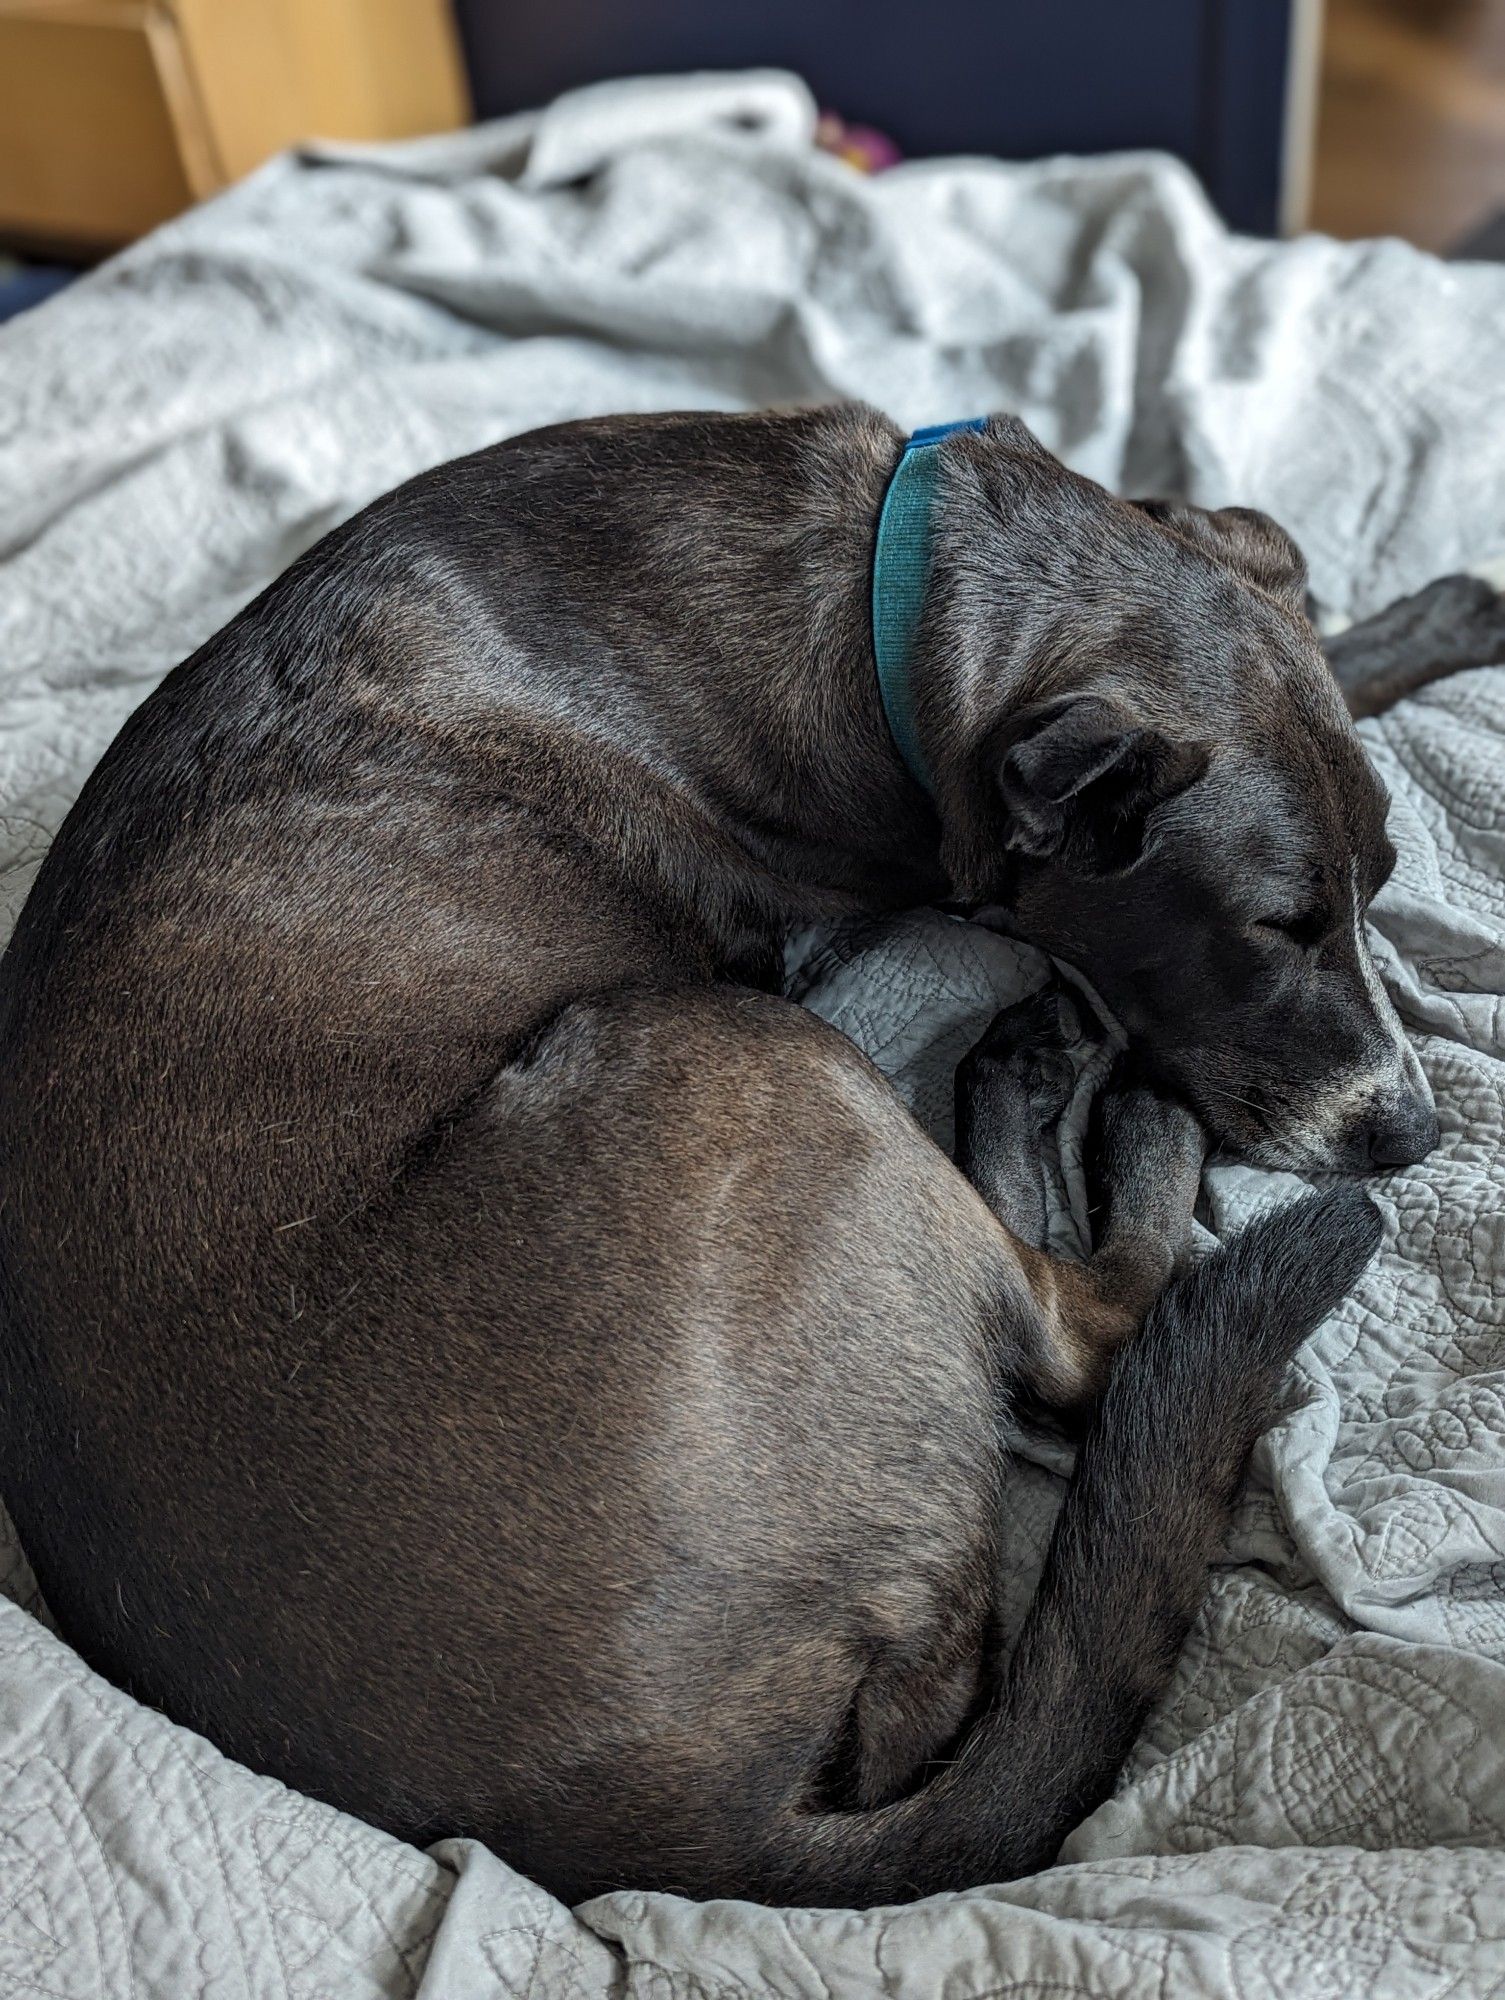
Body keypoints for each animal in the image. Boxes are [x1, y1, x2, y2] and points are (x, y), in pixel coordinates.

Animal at [5, 402, 1496, 1904]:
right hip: (740, 1059)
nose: (1411, 1131)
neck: (894, 592)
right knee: (1090, 1336)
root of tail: (681, 1828)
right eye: (1266, 929)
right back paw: (1096, 1107)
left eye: (1373, 888)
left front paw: (1429, 616)